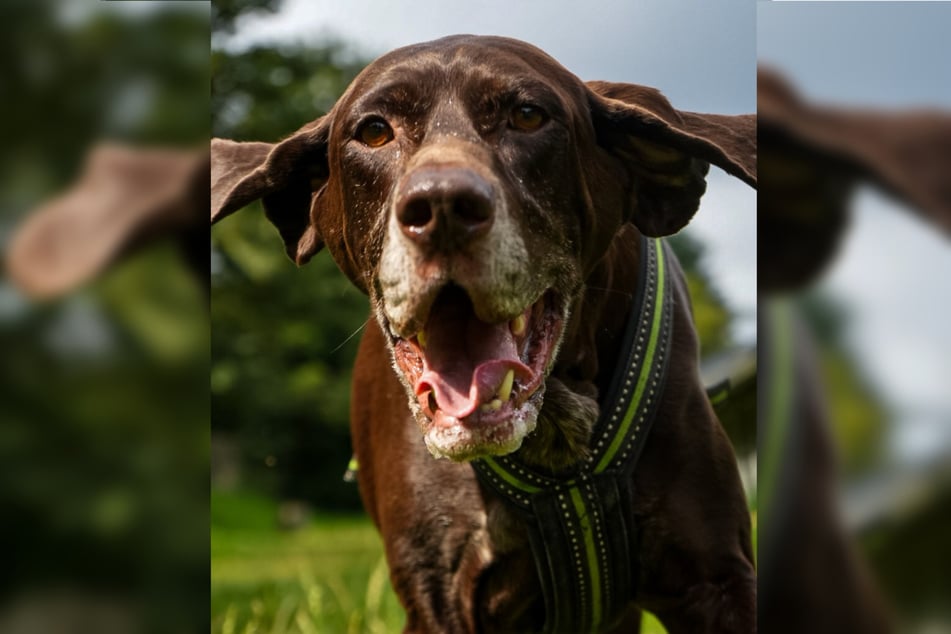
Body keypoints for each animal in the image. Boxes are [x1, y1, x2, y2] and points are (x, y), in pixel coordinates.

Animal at [212, 37, 756, 628]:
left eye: (528, 115)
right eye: (374, 131)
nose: (442, 206)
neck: (556, 445)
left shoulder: (717, 583)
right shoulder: (439, 599)